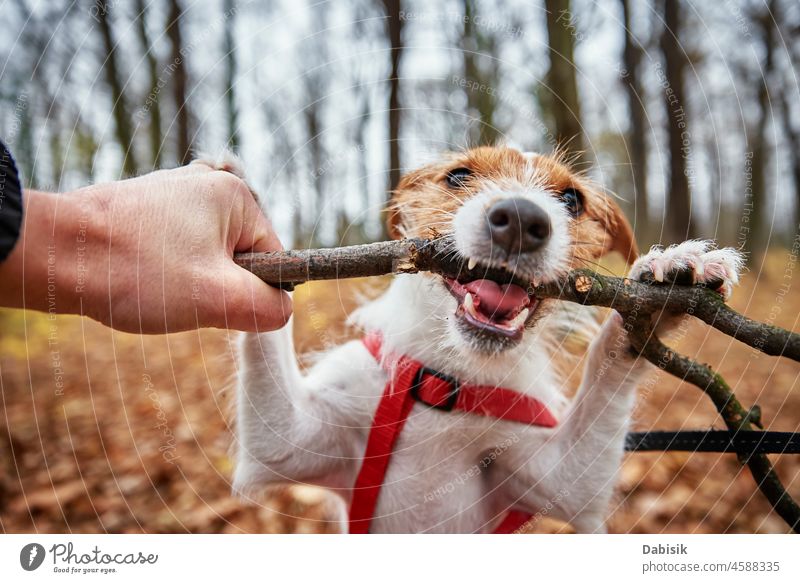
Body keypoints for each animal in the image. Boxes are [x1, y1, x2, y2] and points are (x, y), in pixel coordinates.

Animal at [200, 146, 744, 532]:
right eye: (459, 176)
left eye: (571, 199)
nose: (522, 220)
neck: (448, 381)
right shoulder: (289, 443)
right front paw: (243, 202)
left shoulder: (563, 480)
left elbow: (607, 364)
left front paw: (662, 285)